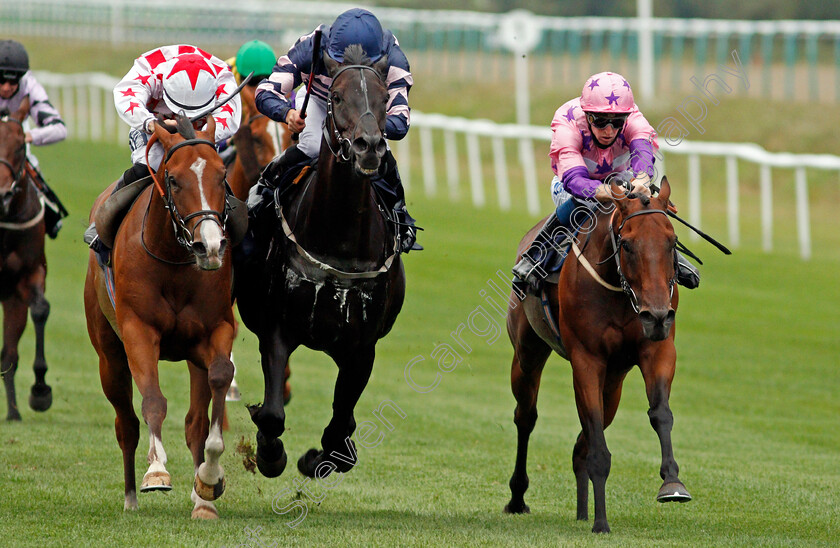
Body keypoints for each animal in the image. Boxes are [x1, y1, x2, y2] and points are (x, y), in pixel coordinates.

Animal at [84, 115, 235, 520]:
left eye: (221, 176)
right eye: (175, 179)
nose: (210, 246)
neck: (174, 262)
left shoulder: (216, 330)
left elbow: (220, 378)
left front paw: (210, 478)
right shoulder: (138, 331)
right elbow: (152, 400)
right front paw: (156, 471)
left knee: (195, 420)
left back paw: (202, 500)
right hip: (108, 356)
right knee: (126, 424)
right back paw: (130, 497)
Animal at [231, 46, 406, 480]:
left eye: (384, 98)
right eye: (337, 97)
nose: (369, 147)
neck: (337, 240)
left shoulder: (362, 347)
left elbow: (341, 431)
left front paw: (317, 458)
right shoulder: (277, 328)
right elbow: (273, 414)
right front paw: (270, 453)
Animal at [506, 180, 688, 532]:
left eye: (672, 242)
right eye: (627, 244)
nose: (658, 316)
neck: (620, 292)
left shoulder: (658, 349)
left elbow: (660, 413)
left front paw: (672, 483)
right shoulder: (586, 360)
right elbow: (597, 445)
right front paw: (601, 522)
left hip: (614, 381)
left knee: (586, 439)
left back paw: (582, 510)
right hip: (527, 353)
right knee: (526, 416)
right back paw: (518, 498)